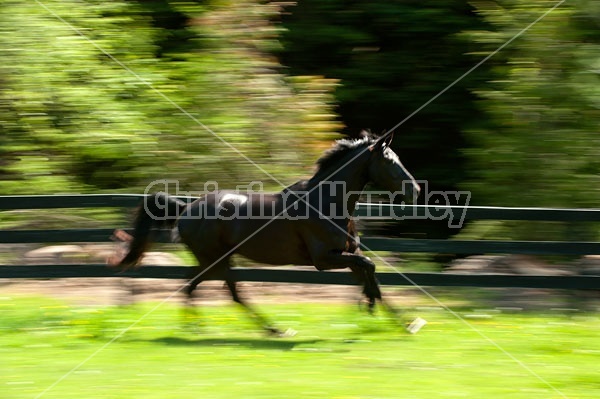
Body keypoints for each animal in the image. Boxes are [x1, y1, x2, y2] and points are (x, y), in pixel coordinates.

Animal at [115, 134, 420, 334]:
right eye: (389, 161)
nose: (415, 191)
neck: (324, 203)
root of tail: (186, 208)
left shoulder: (349, 253)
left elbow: (372, 274)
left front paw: (406, 323)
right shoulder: (325, 259)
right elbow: (370, 267)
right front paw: (369, 306)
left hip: (215, 260)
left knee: (201, 287)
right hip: (214, 260)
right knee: (218, 291)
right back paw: (270, 330)